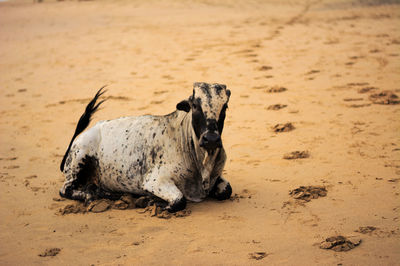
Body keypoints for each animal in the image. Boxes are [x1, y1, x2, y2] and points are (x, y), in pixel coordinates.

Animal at [60, 82, 233, 212]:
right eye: (195, 105)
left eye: (225, 106)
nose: (211, 139)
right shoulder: (155, 181)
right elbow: (179, 201)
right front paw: (150, 201)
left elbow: (227, 190)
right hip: (79, 158)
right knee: (66, 190)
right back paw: (92, 195)